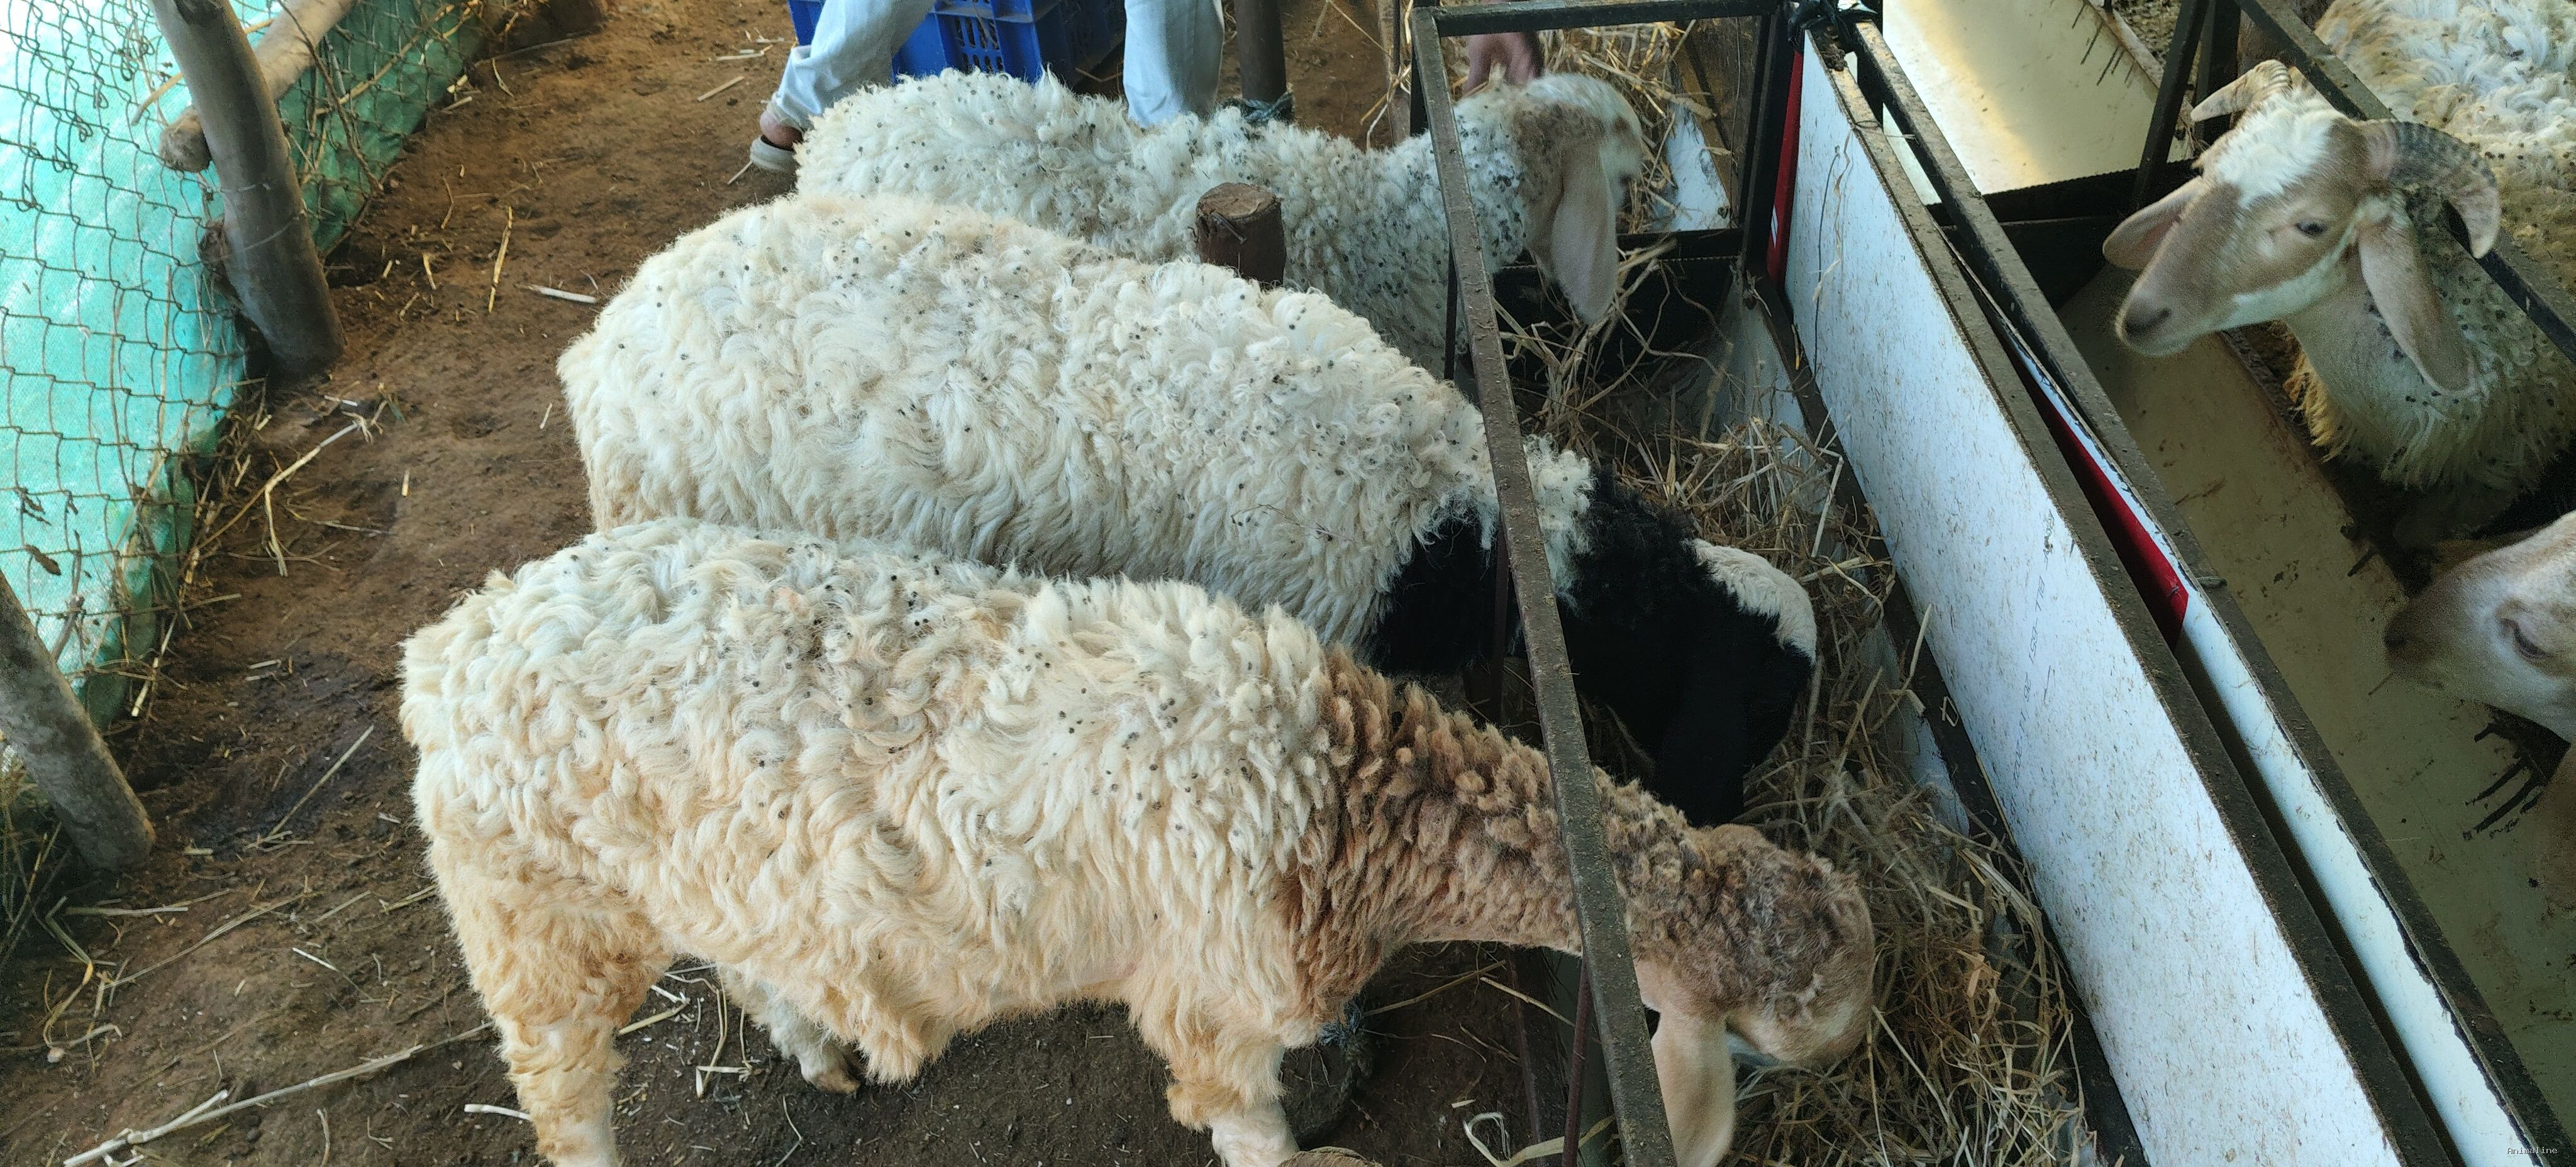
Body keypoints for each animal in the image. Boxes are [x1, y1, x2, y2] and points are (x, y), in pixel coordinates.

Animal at [402, 517, 1878, 1167]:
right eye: (1767, 1047)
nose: (1856, 1045)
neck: (1348, 798)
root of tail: (450, 643)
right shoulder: (1216, 1000)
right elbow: (1250, 1130)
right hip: (529, 920)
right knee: (562, 1096)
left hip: (700, 875)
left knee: (748, 955)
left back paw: (818, 1042)